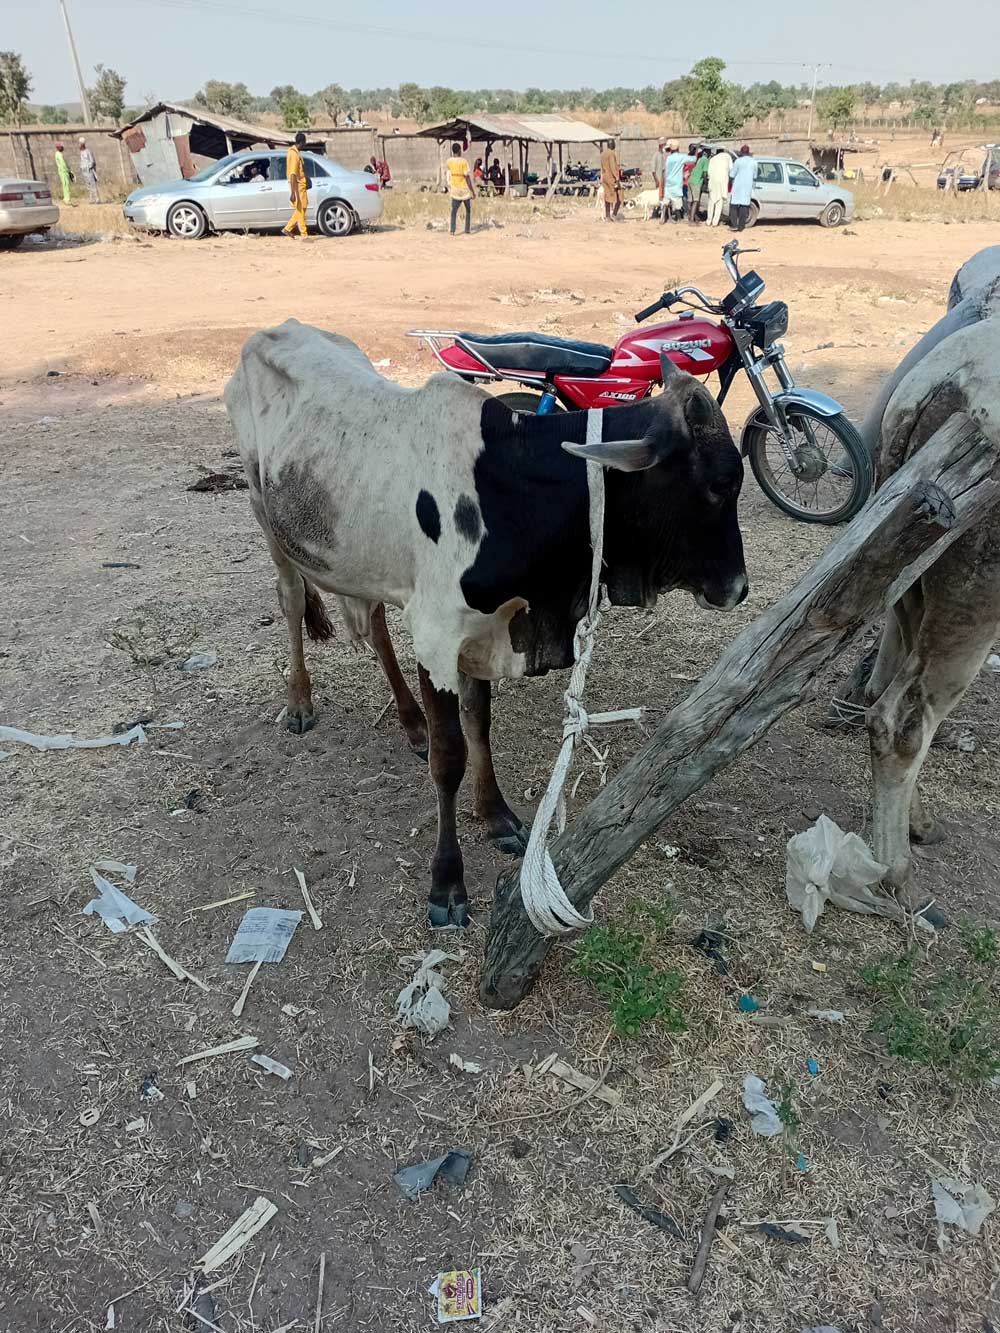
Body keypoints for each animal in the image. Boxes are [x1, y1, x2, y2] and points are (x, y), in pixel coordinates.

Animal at [225, 319, 748, 927]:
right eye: (719, 483)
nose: (739, 587)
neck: (512, 486)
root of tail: (277, 329)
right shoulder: (437, 639)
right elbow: (449, 756)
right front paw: (447, 881)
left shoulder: (481, 633)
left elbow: (480, 726)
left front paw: (495, 812)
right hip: (267, 519)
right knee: (290, 603)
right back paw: (301, 702)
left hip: (362, 557)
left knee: (375, 625)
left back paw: (410, 722)